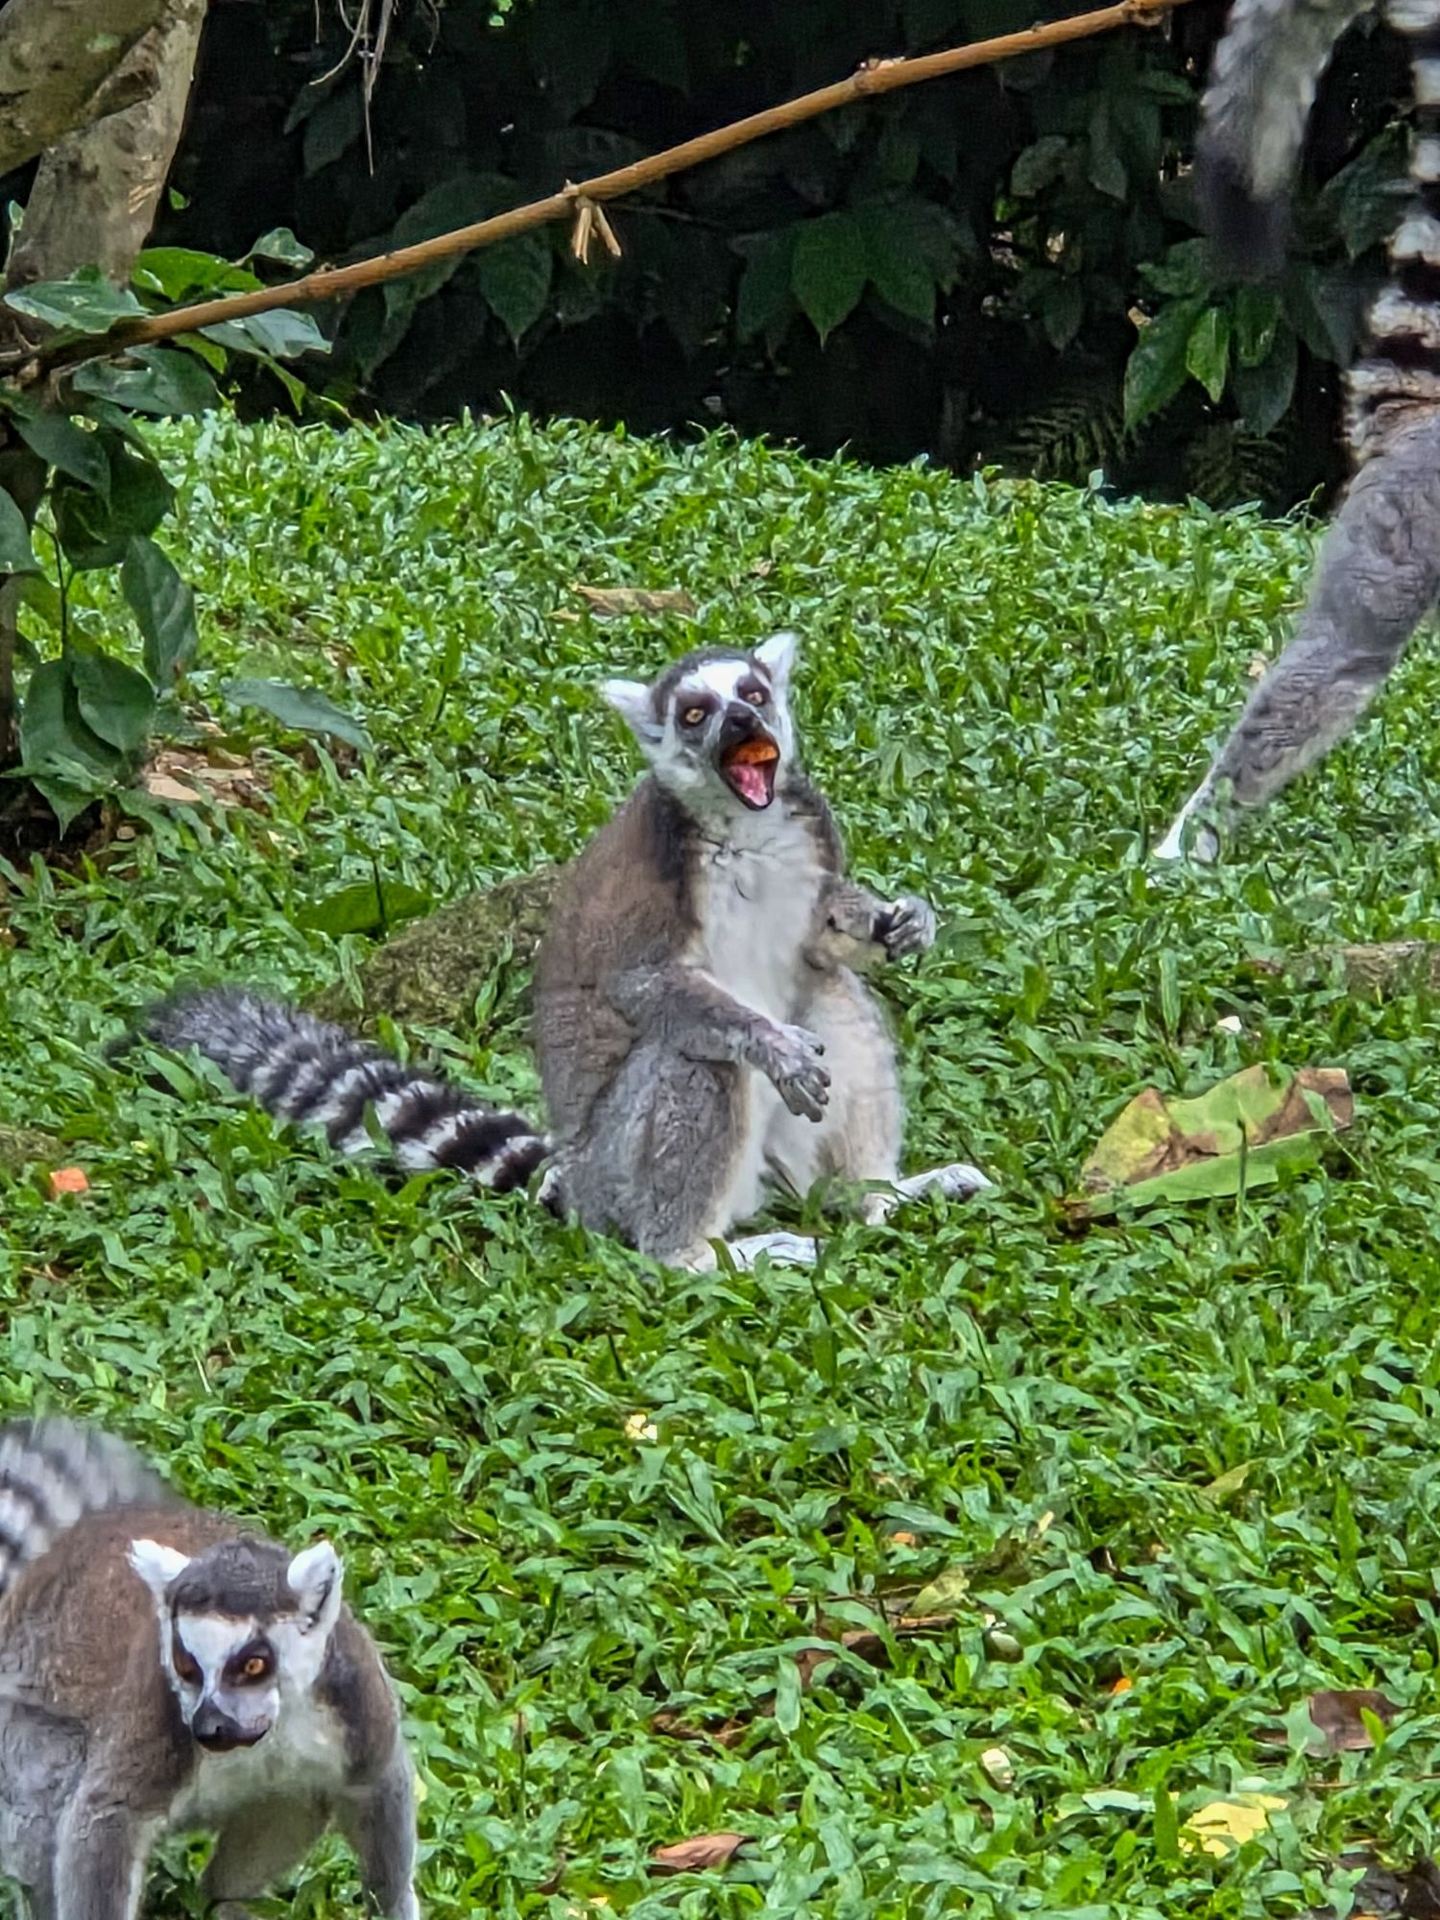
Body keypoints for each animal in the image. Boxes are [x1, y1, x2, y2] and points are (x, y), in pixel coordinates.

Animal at [0, 1415, 419, 1920]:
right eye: (185, 1665)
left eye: (254, 1664)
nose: (208, 1726)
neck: (273, 1729)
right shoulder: (156, 1713)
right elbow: (105, 1816)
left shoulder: (354, 1697)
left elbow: (379, 1782)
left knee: (291, 1804)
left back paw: (226, 1900)